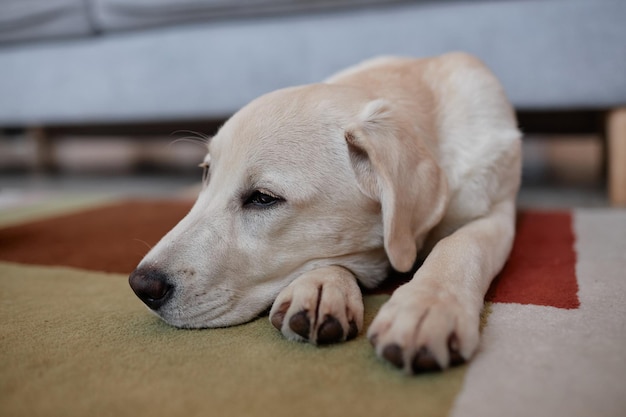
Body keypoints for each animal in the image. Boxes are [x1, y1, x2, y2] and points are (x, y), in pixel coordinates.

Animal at [127, 52, 516, 374]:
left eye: (263, 198)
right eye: (207, 172)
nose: (141, 285)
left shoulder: (499, 211)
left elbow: (461, 245)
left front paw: (428, 306)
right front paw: (320, 286)